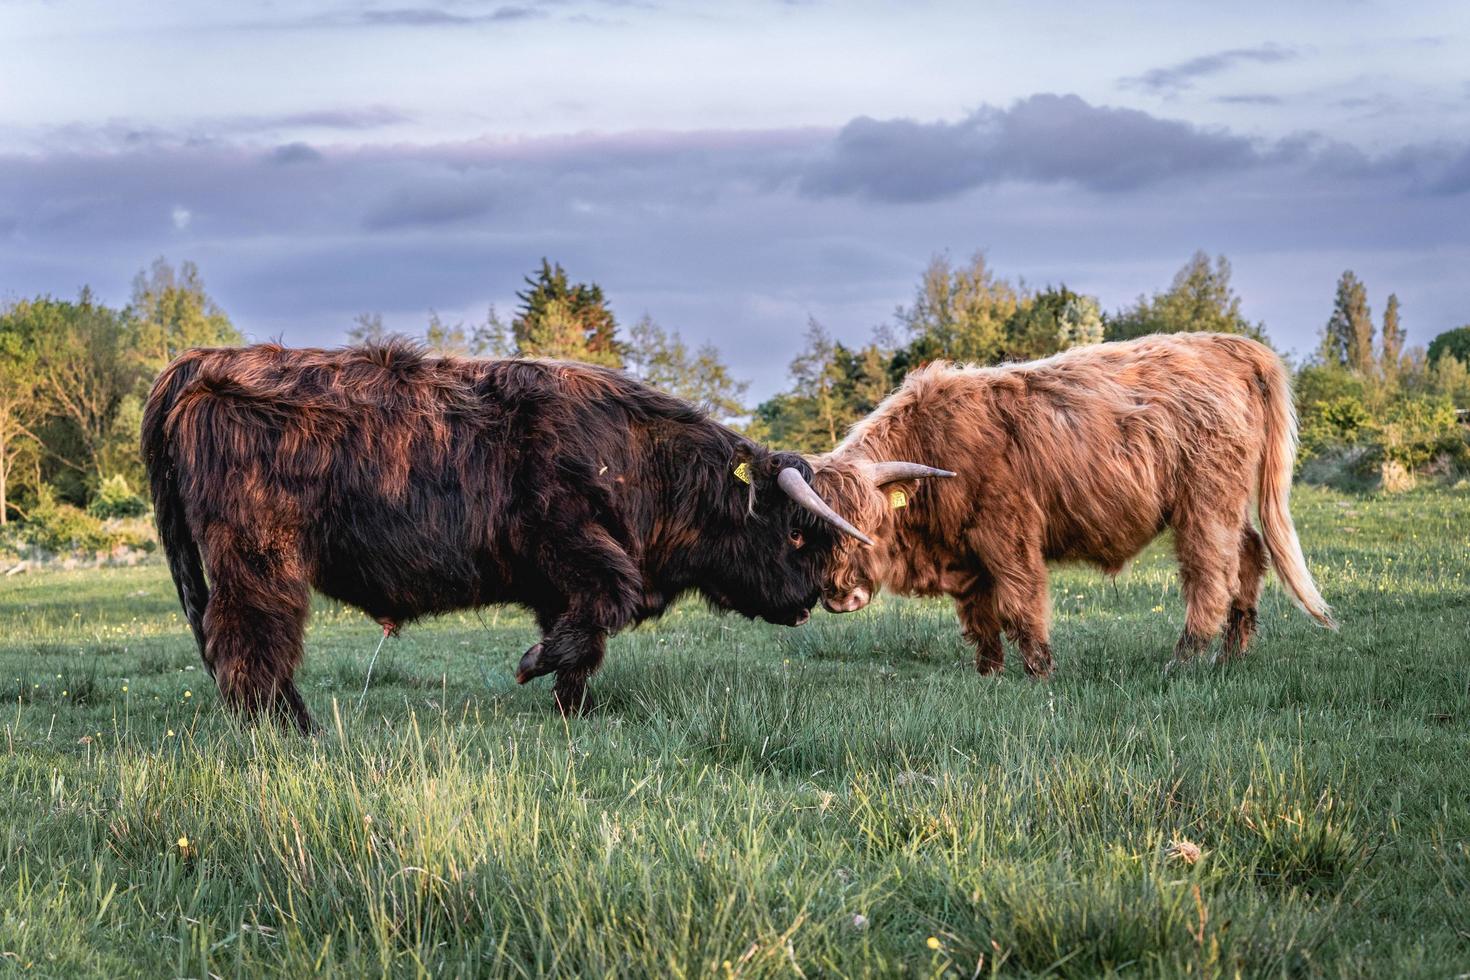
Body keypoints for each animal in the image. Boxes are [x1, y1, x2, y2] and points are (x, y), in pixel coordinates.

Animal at [140, 340, 870, 731]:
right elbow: (610, 601)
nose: (820, 599)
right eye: (796, 535)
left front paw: (572, 707)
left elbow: (586, 636)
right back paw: (289, 730)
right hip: (259, 558)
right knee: (248, 639)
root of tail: (205, 361)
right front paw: (531, 664)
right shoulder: (576, 543)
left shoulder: (561, 581)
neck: (639, 455)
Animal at [811, 329, 1340, 675]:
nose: (838, 596)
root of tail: (1231, 346)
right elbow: (979, 615)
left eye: (868, 527)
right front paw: (989, 671)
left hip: (1205, 500)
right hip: (1227, 501)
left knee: (1211, 574)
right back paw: (1233, 653)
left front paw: (1040, 670)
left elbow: (1020, 600)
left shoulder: (1007, 531)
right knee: (1249, 553)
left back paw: (1183, 659)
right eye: (810, 536)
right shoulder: (966, 553)